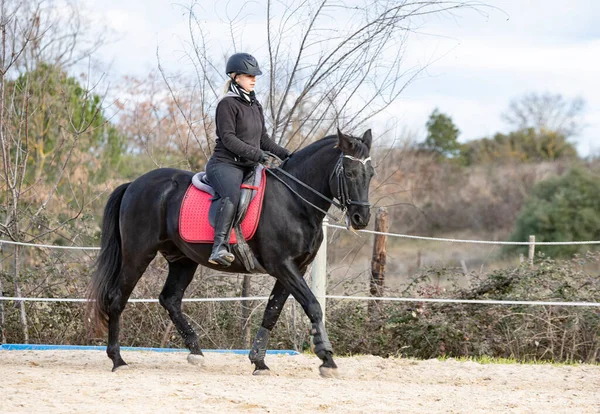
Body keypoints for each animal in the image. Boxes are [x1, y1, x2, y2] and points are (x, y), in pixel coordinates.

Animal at [86, 129, 376, 376]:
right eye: (350, 173)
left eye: (371, 174)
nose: (361, 218)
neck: (294, 200)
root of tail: (134, 184)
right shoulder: (283, 265)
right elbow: (313, 306)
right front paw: (326, 358)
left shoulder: (296, 268)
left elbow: (272, 311)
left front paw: (259, 361)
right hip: (138, 255)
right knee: (117, 298)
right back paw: (117, 359)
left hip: (182, 259)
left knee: (170, 299)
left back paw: (196, 352)